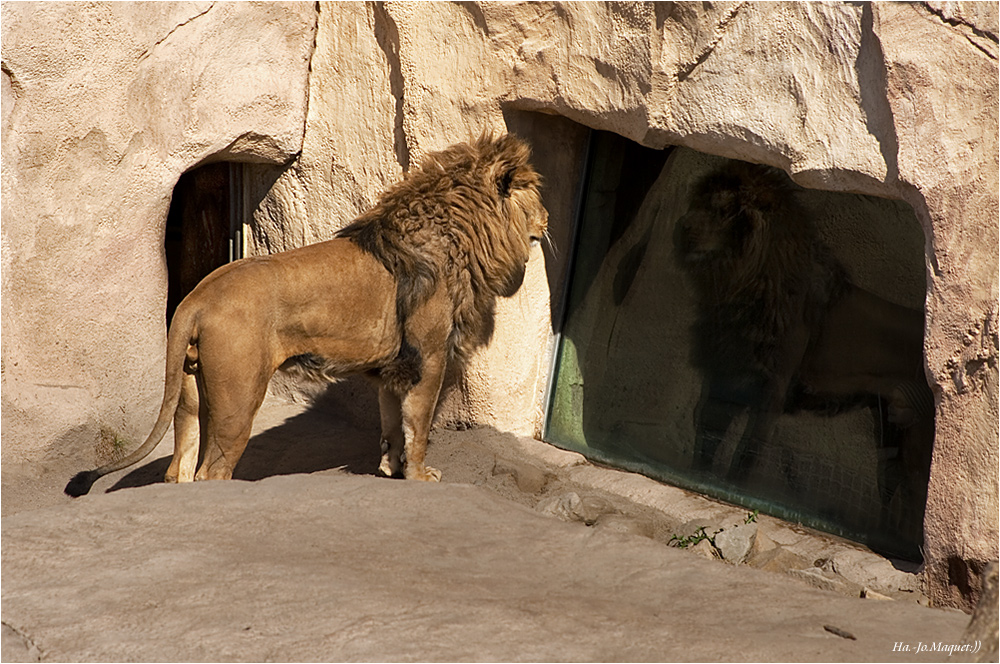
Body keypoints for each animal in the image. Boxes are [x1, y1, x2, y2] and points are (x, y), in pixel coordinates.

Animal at [64, 132, 548, 496]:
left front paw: (390, 469)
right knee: (211, 471)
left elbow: (393, 425)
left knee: (177, 470)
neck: (460, 233)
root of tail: (196, 298)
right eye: (538, 195)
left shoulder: (394, 369)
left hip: (190, 391)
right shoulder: (427, 359)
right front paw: (419, 477)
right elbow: (418, 427)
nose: (547, 219)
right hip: (237, 398)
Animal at [676, 162, 932, 512]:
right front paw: (699, 478)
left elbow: (748, 451)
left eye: (724, 209)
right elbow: (706, 436)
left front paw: (733, 491)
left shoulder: (774, 384)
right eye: (699, 202)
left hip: (917, 430)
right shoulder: (725, 371)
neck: (740, 287)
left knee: (917, 491)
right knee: (891, 487)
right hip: (890, 424)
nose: (682, 228)